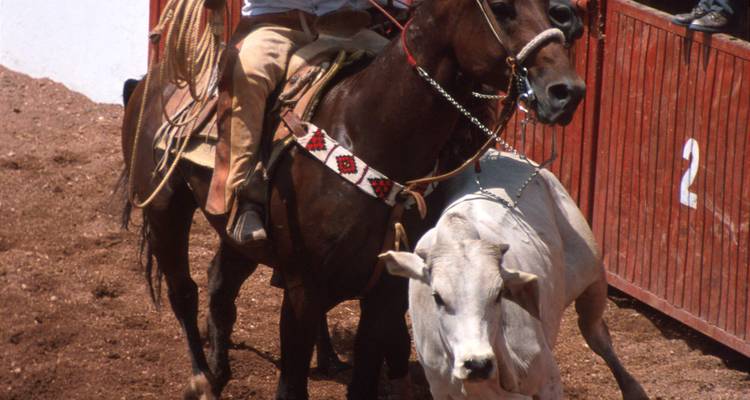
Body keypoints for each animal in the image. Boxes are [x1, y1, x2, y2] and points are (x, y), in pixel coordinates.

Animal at [120, 0, 585, 399]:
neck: (369, 135)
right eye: (502, 8)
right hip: (164, 209)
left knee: (220, 283)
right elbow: (291, 382)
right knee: (184, 290)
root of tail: (148, 81)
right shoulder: (303, 287)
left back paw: (220, 370)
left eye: (548, 9)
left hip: (239, 238)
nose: (567, 91)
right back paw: (201, 377)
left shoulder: (386, 293)